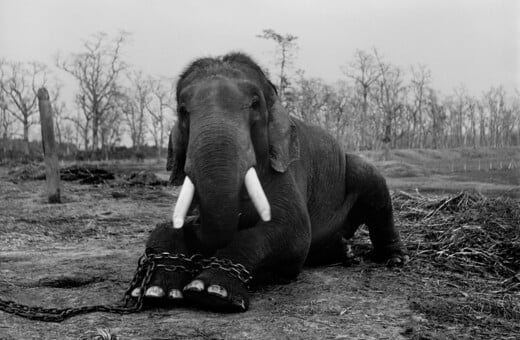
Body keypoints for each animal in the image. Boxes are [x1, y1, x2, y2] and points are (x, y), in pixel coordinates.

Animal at [131, 52, 406, 310]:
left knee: (374, 190)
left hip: (360, 172)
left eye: (255, 104)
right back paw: (345, 251)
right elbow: (165, 228)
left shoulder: (287, 171)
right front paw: (156, 290)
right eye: (182, 110)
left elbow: (293, 231)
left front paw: (212, 292)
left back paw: (394, 259)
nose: (194, 222)